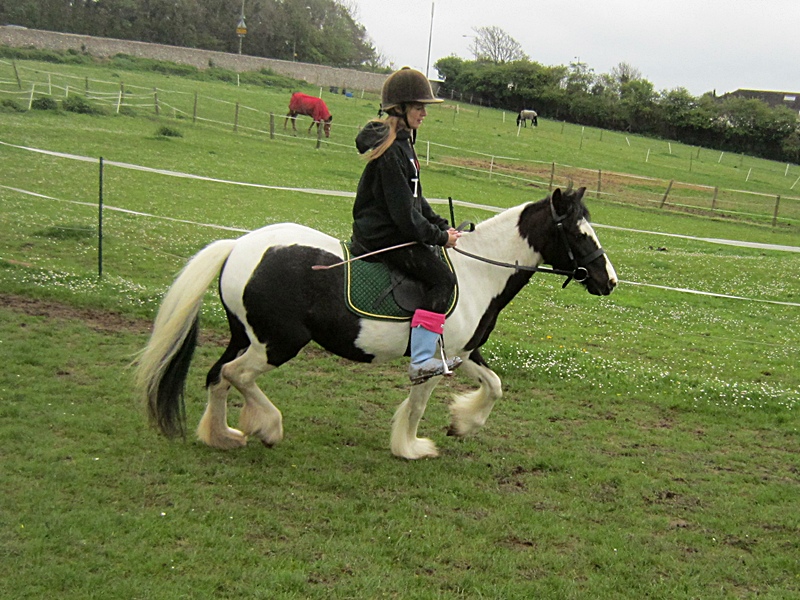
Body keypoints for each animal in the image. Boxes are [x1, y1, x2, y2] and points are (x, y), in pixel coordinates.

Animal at [135, 187, 617, 460]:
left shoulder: (462, 353)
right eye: (580, 234)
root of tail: (239, 247)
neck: (478, 272)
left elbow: (495, 386)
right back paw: (267, 427)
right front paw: (411, 448)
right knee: (235, 375)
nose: (608, 280)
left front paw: (462, 424)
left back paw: (222, 436)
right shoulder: (434, 360)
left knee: (217, 376)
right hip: (277, 343)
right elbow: (418, 406)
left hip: (247, 336)